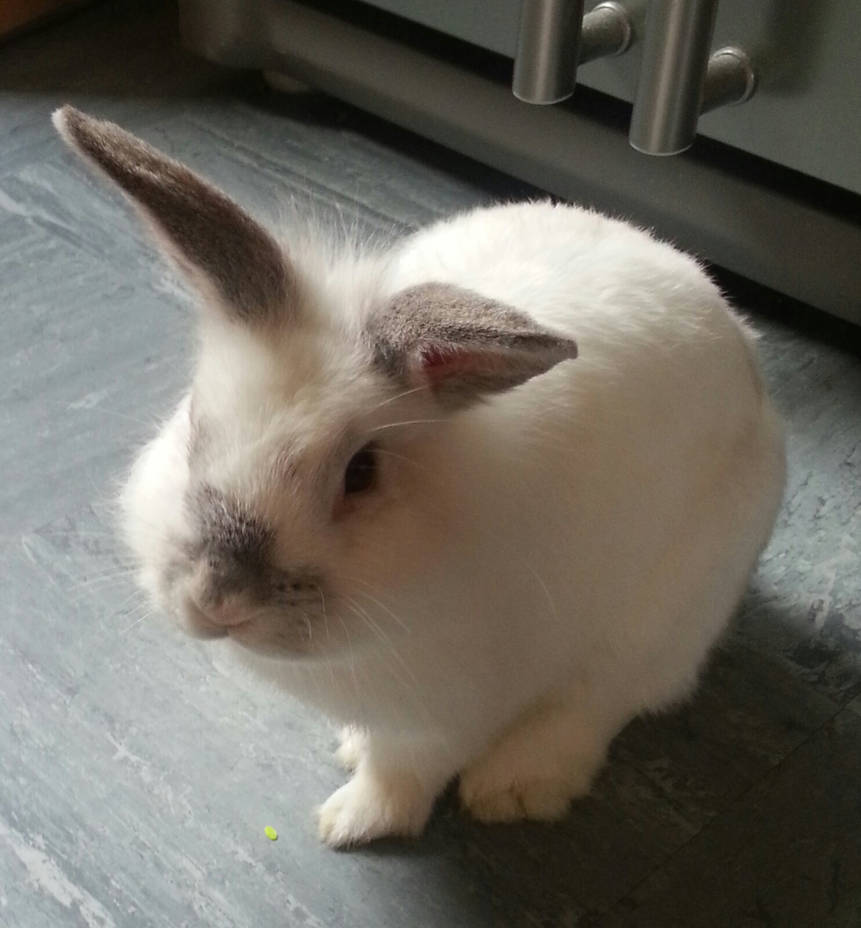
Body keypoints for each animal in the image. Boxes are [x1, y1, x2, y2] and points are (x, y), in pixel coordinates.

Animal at [54, 106, 786, 848]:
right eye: (197, 428)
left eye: (361, 472)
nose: (217, 599)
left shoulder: (449, 710)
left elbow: (402, 772)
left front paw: (349, 824)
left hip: (667, 615)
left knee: (603, 700)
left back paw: (514, 789)